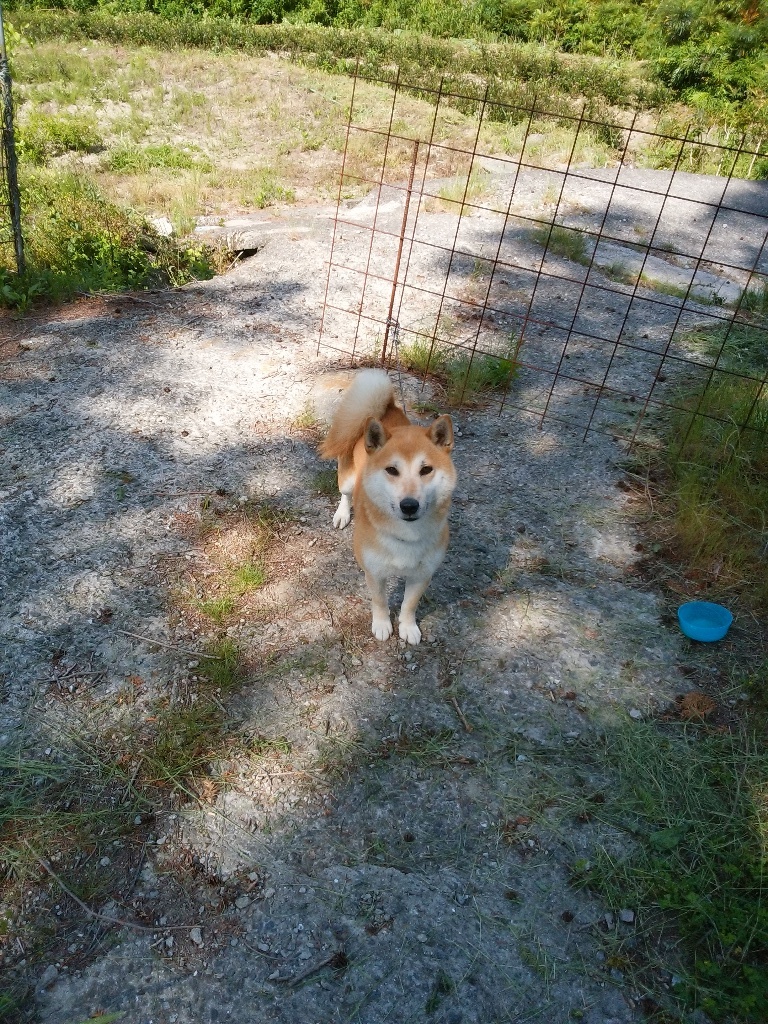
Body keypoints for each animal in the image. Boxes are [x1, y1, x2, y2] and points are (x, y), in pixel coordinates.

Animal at [321, 369, 456, 645]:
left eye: (426, 469)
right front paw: (383, 625)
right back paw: (342, 514)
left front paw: (408, 627)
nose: (409, 505)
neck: (406, 536)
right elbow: (380, 602)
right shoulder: (374, 572)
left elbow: (409, 605)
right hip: (348, 480)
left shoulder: (422, 574)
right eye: (392, 470)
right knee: (345, 494)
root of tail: (385, 409)